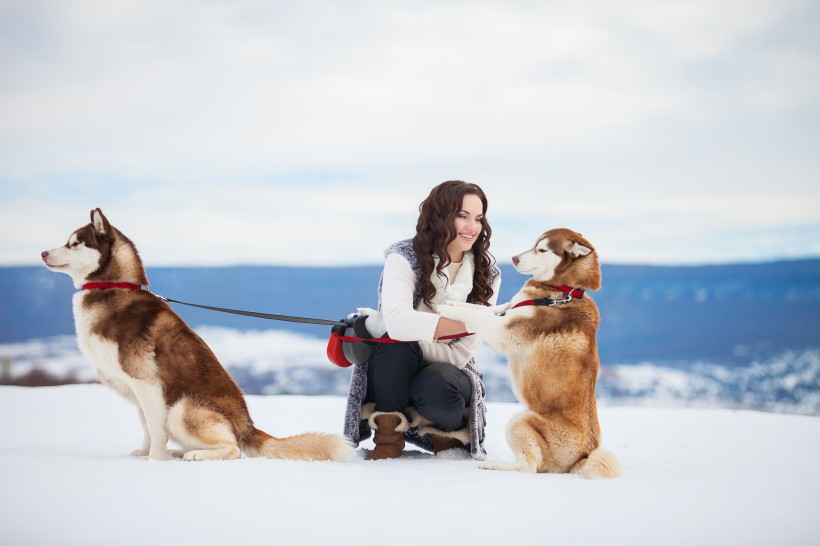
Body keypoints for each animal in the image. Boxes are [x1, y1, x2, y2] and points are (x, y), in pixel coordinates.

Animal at [42, 206, 356, 462]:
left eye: (74, 243)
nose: (43, 252)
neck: (114, 287)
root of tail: (248, 427)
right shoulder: (138, 391)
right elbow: (147, 427)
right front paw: (145, 453)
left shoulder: (147, 384)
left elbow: (155, 430)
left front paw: (153, 461)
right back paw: (181, 452)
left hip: (182, 407)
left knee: (233, 449)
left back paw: (196, 455)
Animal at [442, 227, 620, 474]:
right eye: (534, 244)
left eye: (542, 249)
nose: (514, 258)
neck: (561, 292)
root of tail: (582, 457)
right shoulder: (507, 312)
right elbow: (480, 308)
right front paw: (451, 303)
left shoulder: (506, 332)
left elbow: (476, 315)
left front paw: (444, 308)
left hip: (519, 421)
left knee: (528, 468)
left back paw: (494, 465)